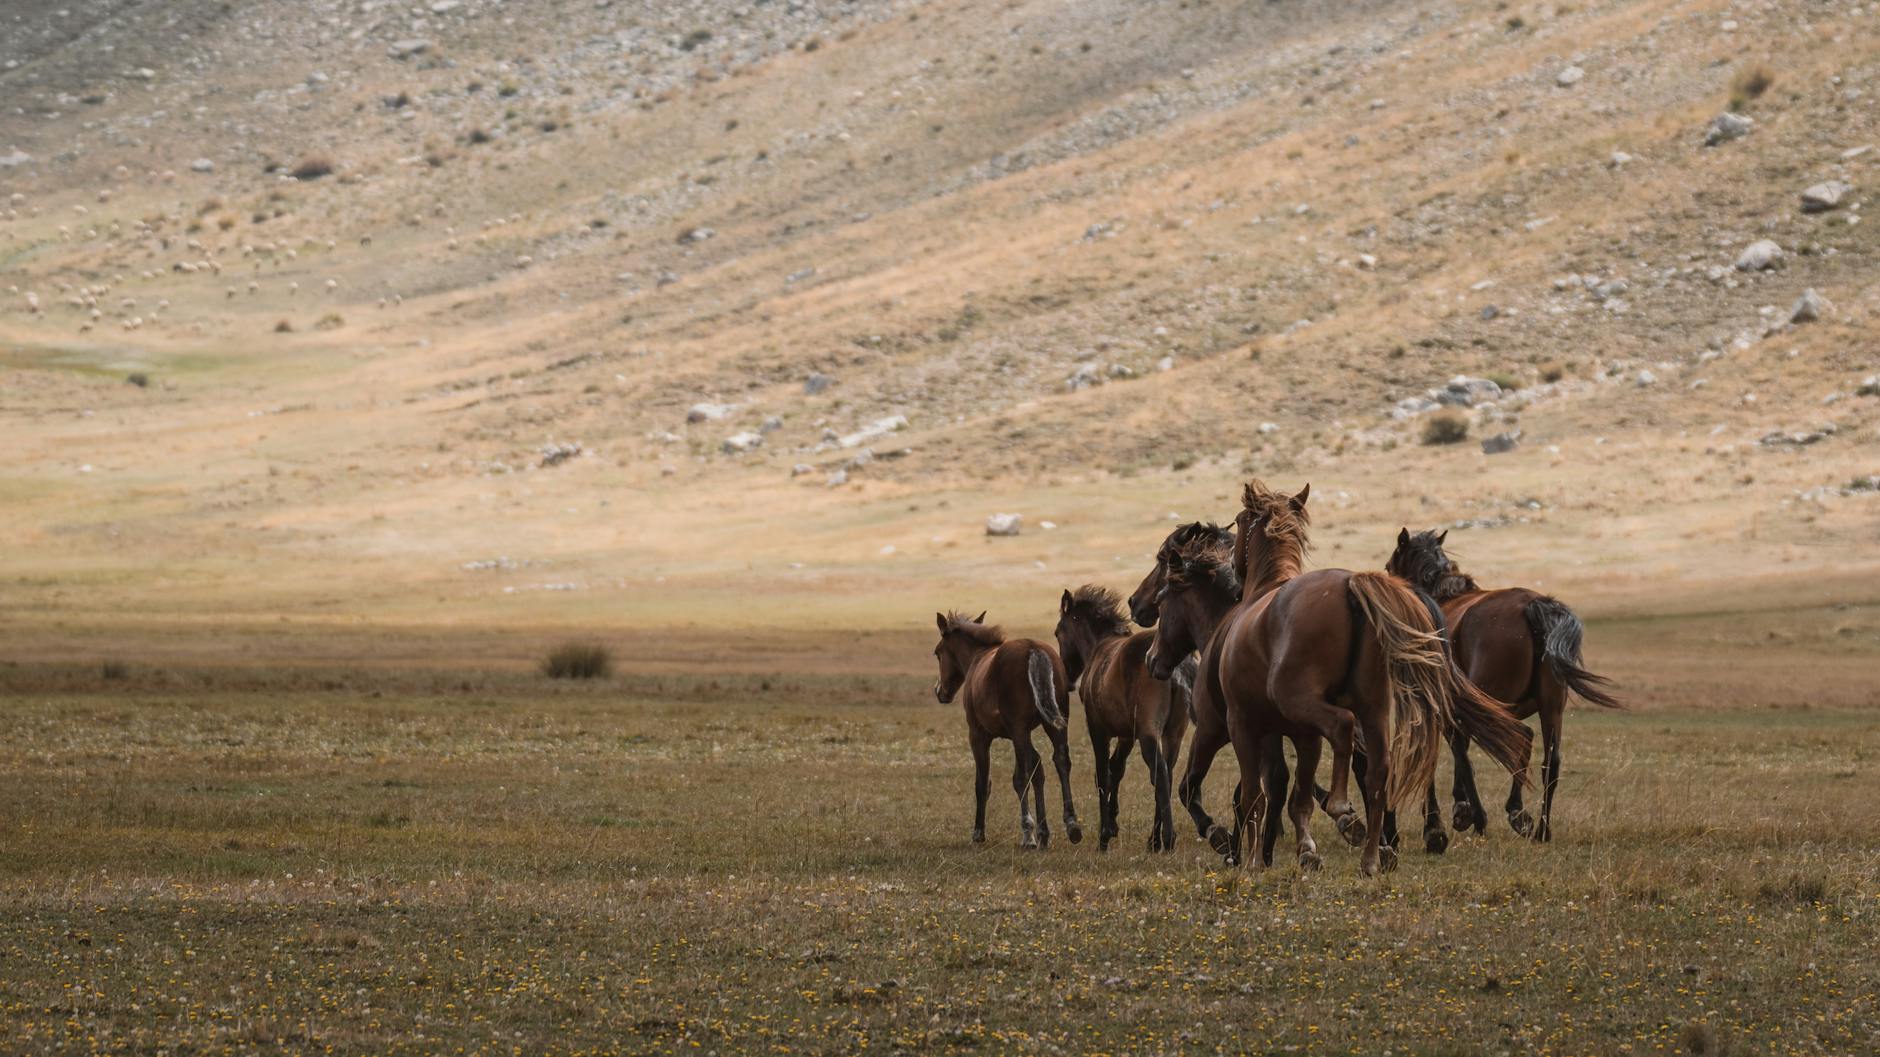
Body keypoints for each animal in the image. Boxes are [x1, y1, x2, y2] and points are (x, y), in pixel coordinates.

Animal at [928, 609, 1082, 846]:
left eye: (938, 653)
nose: (940, 692)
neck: (977, 658)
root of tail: (1033, 650)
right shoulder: (1018, 733)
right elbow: (1039, 771)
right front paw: (1044, 832)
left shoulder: (979, 735)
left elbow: (983, 783)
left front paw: (978, 833)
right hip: (1053, 724)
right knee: (1061, 761)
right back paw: (1071, 825)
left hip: (1019, 730)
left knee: (1022, 776)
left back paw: (1028, 833)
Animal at [1060, 583, 1188, 846]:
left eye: (1057, 633)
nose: (1067, 678)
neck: (1100, 648)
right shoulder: (1127, 735)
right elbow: (1116, 769)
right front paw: (1113, 823)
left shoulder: (1098, 730)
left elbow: (1102, 775)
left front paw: (1104, 834)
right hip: (1174, 734)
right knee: (1167, 773)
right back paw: (1154, 839)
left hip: (1149, 733)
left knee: (1159, 773)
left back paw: (1166, 838)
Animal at [1150, 479, 1534, 872]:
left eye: (1164, 600)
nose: (1153, 658)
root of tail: (1352, 585)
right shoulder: (1298, 734)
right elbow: (1292, 794)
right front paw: (1299, 849)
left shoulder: (1232, 726)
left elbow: (1243, 794)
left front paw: (1244, 851)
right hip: (1374, 711)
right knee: (1380, 770)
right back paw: (1375, 856)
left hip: (1305, 707)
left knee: (1343, 729)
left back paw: (1344, 809)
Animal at [1391, 526, 1624, 838]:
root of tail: (1532, 606)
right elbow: (1461, 750)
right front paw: (1461, 810)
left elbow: (1457, 755)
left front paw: (1457, 815)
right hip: (1550, 708)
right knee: (1549, 761)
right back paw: (1539, 828)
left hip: (1494, 703)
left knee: (1519, 739)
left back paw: (1507, 814)